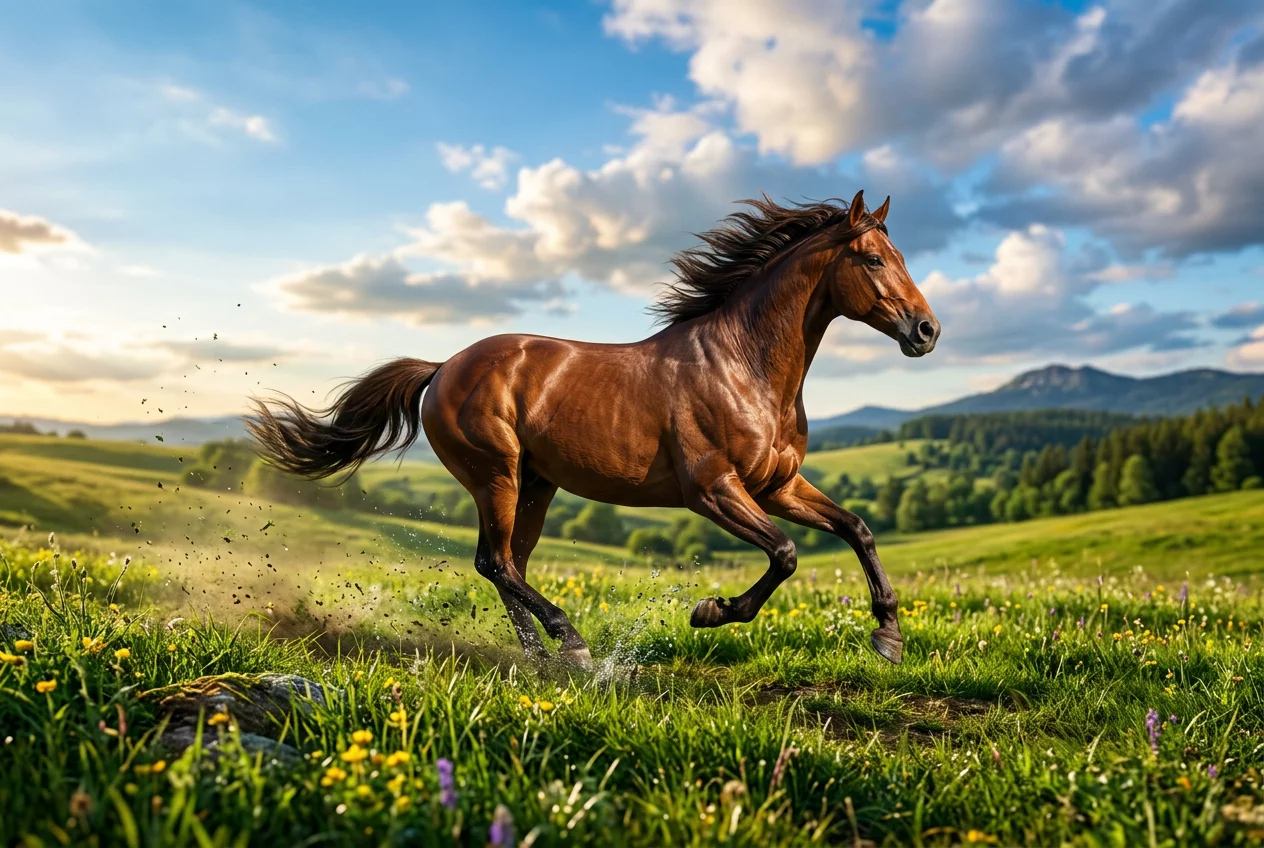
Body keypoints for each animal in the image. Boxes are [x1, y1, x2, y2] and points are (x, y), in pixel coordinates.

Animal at [248, 190, 940, 669]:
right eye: (873, 260)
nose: (927, 331)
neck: (743, 367)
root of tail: (442, 367)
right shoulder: (712, 489)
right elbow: (787, 553)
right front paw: (711, 611)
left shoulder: (778, 486)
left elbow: (857, 529)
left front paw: (888, 637)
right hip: (496, 475)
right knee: (494, 562)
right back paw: (572, 644)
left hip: (535, 486)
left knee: (507, 564)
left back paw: (543, 657)